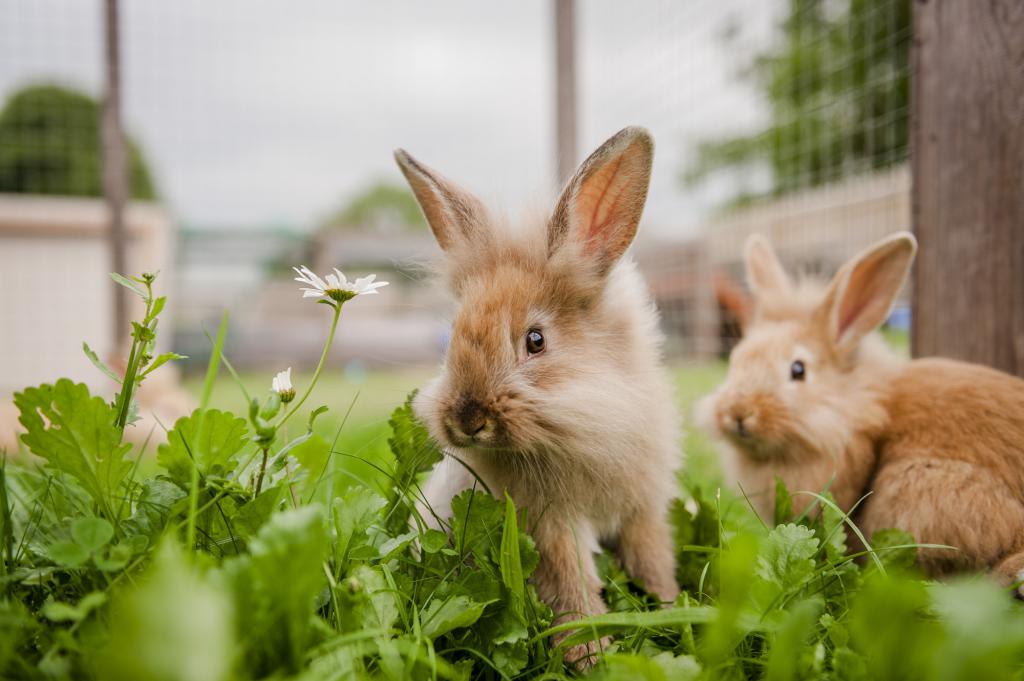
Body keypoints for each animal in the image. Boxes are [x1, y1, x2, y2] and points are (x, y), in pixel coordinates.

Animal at [395, 129, 684, 663]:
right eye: (454, 335)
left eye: (536, 340)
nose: (467, 418)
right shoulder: (553, 529)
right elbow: (572, 587)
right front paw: (590, 654)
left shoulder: (644, 511)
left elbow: (652, 561)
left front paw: (670, 606)